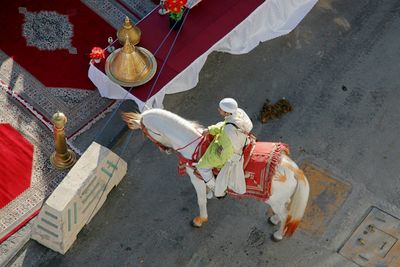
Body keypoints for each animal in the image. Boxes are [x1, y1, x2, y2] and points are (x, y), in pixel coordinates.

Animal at [122, 108, 310, 241]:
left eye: (146, 133)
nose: (164, 150)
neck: (193, 146)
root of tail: (294, 169)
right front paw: (211, 192)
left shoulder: (195, 177)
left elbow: (200, 200)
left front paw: (200, 219)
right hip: (277, 199)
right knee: (285, 207)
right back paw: (275, 220)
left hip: (274, 200)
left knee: (285, 215)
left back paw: (278, 234)